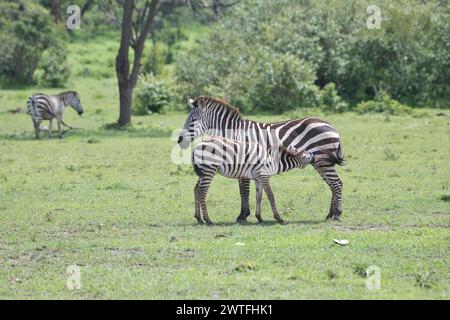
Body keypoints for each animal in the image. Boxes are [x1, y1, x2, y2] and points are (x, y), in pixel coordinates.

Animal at [177, 95, 344, 222]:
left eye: (192, 121)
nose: (179, 140)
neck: (234, 132)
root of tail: (330, 125)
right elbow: (244, 191)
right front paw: (246, 214)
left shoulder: (244, 161)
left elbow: (244, 191)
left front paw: (243, 216)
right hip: (319, 162)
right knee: (333, 183)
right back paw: (330, 214)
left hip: (323, 160)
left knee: (336, 183)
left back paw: (336, 214)